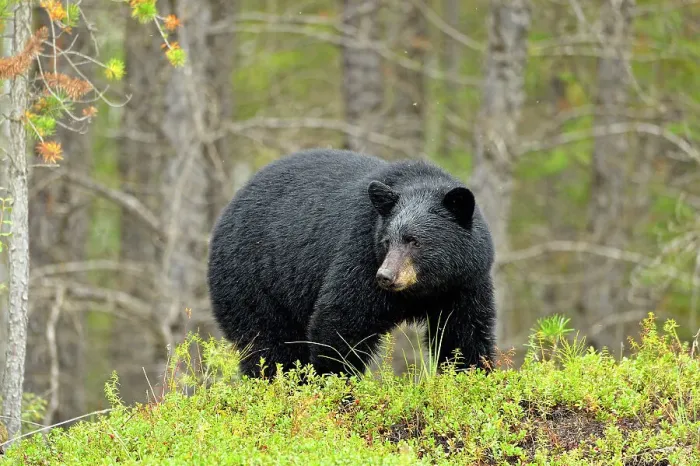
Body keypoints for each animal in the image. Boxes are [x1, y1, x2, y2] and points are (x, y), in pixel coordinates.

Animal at [207, 148, 496, 378]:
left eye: (414, 241)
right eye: (387, 241)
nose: (386, 276)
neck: (423, 290)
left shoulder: (464, 284)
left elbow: (463, 334)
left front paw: (471, 376)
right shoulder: (360, 254)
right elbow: (341, 320)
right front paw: (336, 384)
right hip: (252, 281)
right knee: (268, 344)